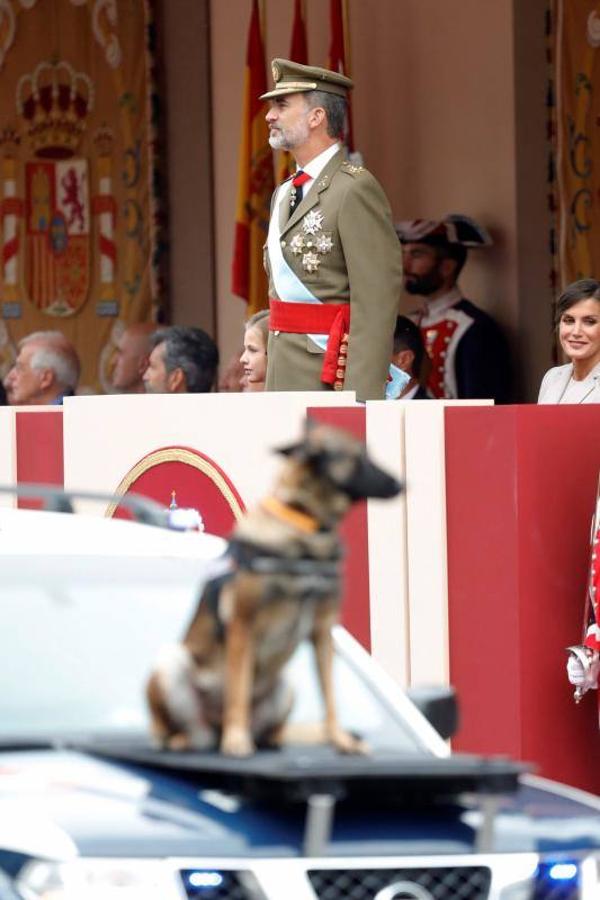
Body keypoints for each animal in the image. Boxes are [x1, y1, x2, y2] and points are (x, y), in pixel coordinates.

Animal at [146, 418, 400, 756]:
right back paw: (192, 739)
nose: (401, 484)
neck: (306, 528)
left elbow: (330, 696)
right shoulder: (243, 625)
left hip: (285, 685)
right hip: (171, 665)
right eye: (358, 459)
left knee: (267, 731)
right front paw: (236, 741)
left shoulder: (322, 630)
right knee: (180, 730)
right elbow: (238, 690)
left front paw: (341, 739)